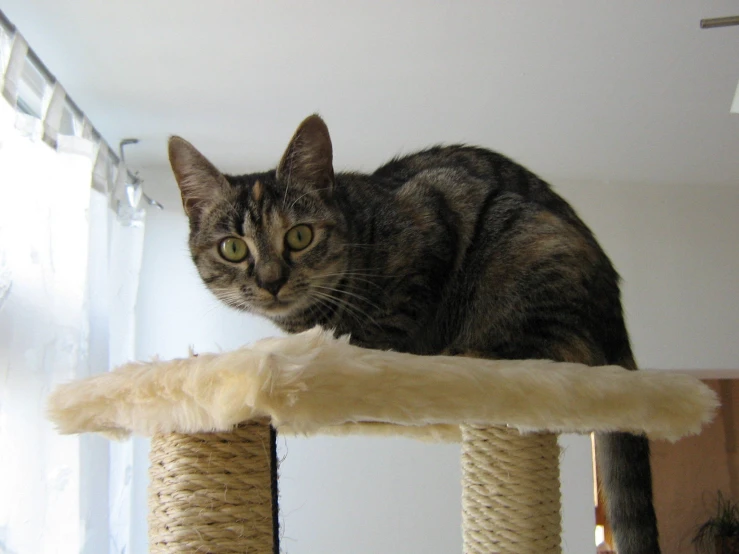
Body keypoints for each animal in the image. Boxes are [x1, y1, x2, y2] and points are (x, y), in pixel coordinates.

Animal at [171, 113, 660, 552]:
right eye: (233, 248)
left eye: (299, 236)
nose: (271, 281)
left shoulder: (431, 215)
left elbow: (390, 322)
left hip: (529, 244)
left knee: (555, 349)